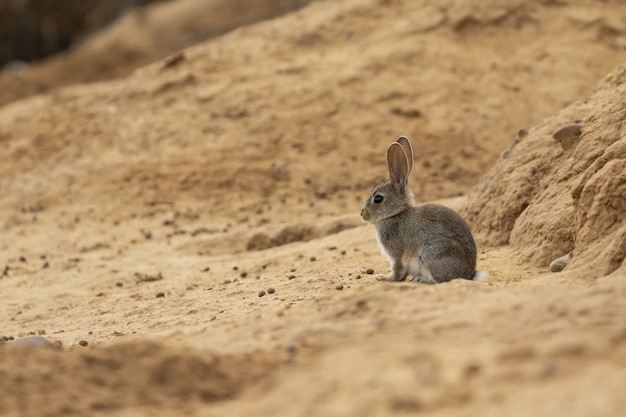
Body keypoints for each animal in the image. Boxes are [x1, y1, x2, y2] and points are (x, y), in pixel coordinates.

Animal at [358, 136, 480, 282]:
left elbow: (397, 270)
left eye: (377, 199)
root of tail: (468, 275)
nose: (362, 214)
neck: (396, 214)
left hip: (431, 252)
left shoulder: (397, 254)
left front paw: (384, 278)